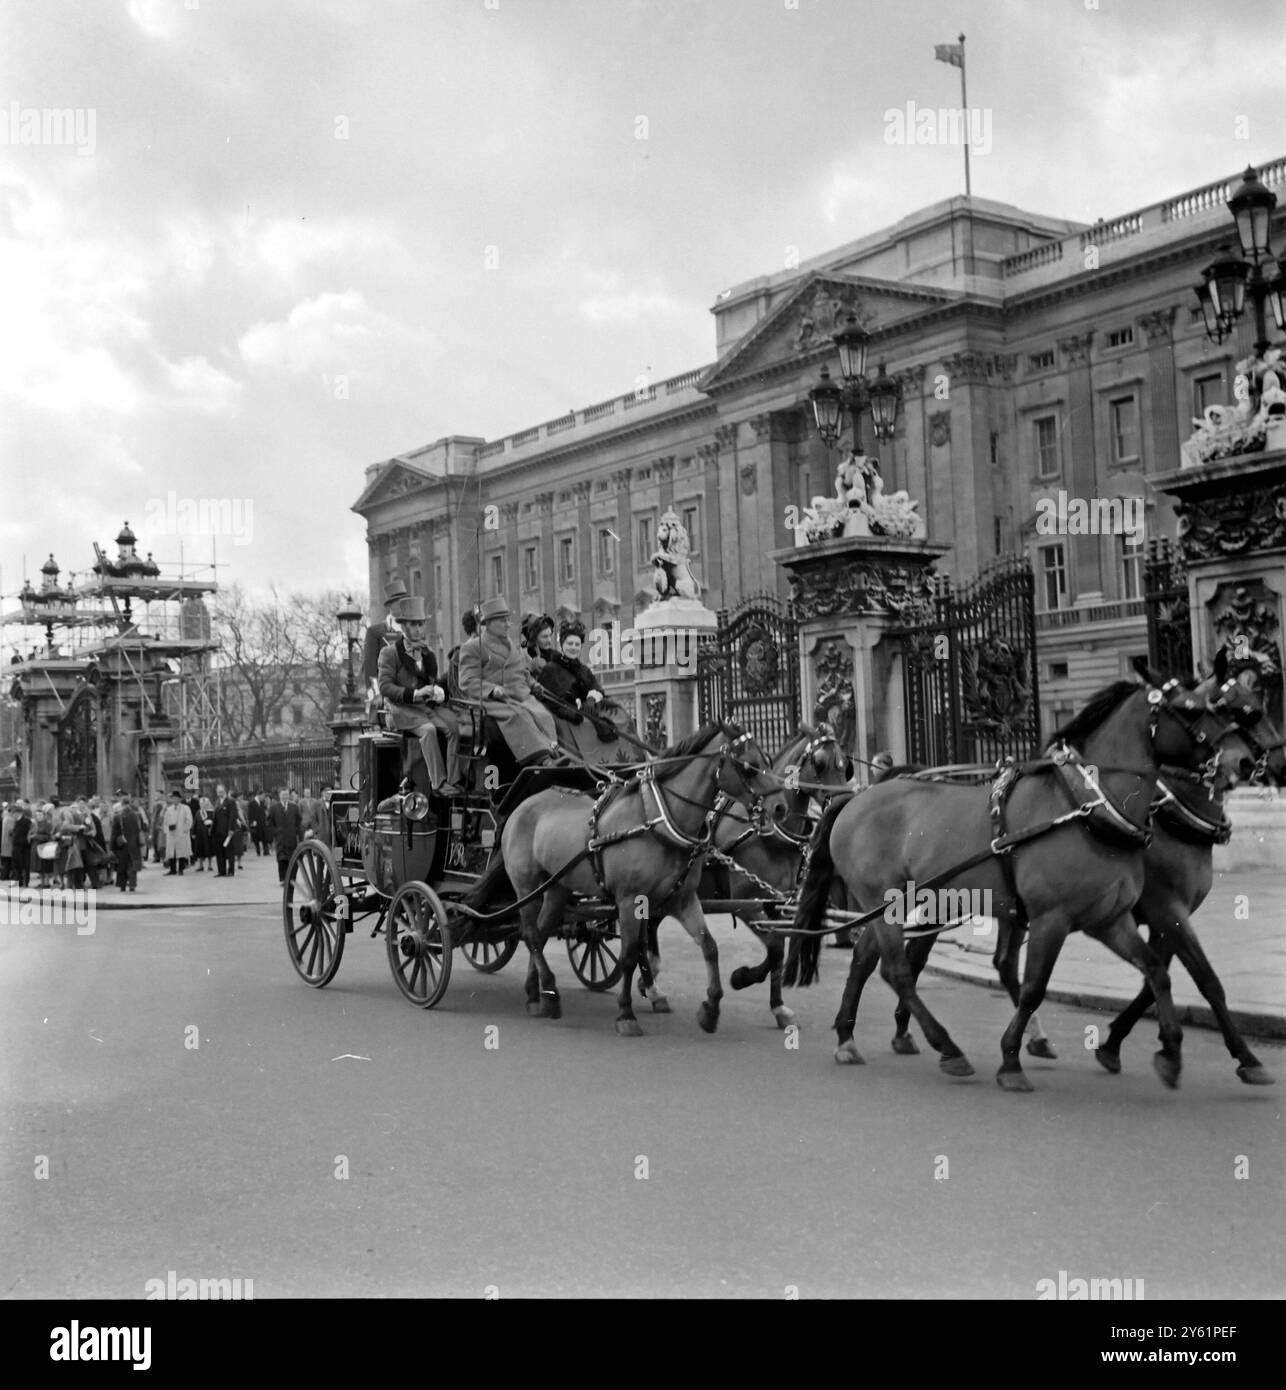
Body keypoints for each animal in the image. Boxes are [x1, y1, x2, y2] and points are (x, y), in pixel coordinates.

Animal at [497, 728, 772, 1034]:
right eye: (749, 766)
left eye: (767, 759)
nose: (779, 807)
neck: (657, 822)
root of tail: (520, 807)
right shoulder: (630, 900)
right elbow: (628, 955)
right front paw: (626, 1013)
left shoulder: (682, 899)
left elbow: (709, 946)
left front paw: (710, 1009)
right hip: (526, 887)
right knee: (531, 934)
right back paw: (549, 992)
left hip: (556, 888)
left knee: (540, 934)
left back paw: (537, 994)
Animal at [789, 656, 1251, 1089]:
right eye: (1191, 710)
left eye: (1230, 708)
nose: (1241, 760)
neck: (1087, 806)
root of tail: (856, 797)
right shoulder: (1060, 917)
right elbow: (1034, 987)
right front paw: (1011, 1059)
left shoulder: (1110, 919)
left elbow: (1160, 973)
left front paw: (1173, 1050)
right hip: (887, 901)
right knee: (897, 970)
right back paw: (946, 1045)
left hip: (909, 901)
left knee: (869, 959)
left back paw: (849, 1036)